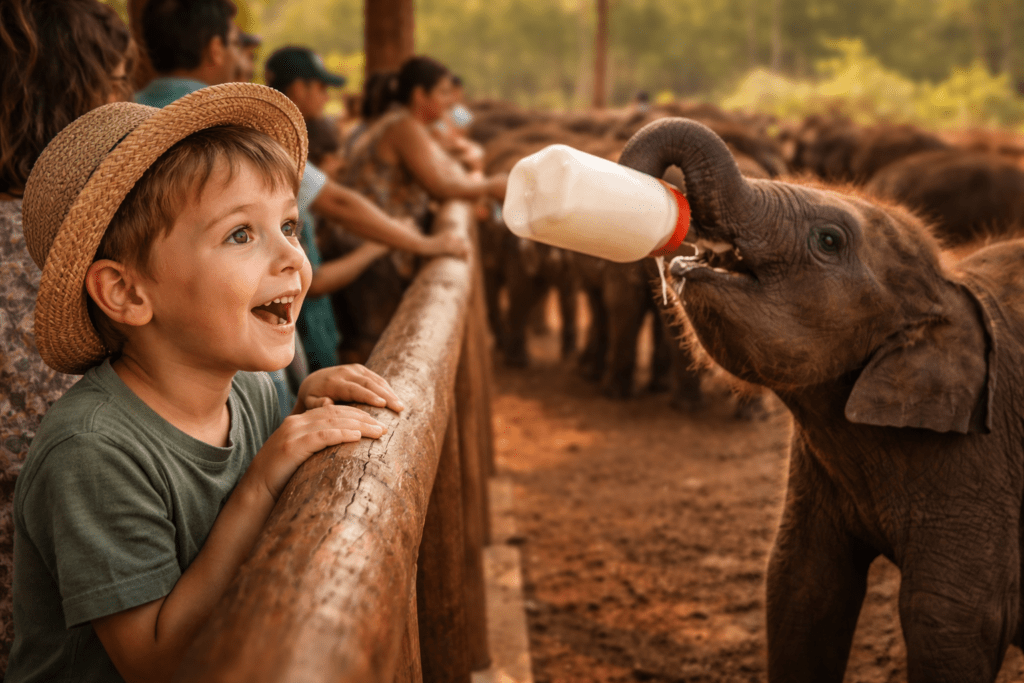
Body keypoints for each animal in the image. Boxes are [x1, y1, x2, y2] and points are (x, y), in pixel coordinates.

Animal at [618, 117, 1024, 682]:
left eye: (828, 240)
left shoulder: (983, 464)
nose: (670, 245)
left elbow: (949, 620)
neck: (950, 287)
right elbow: (802, 585)